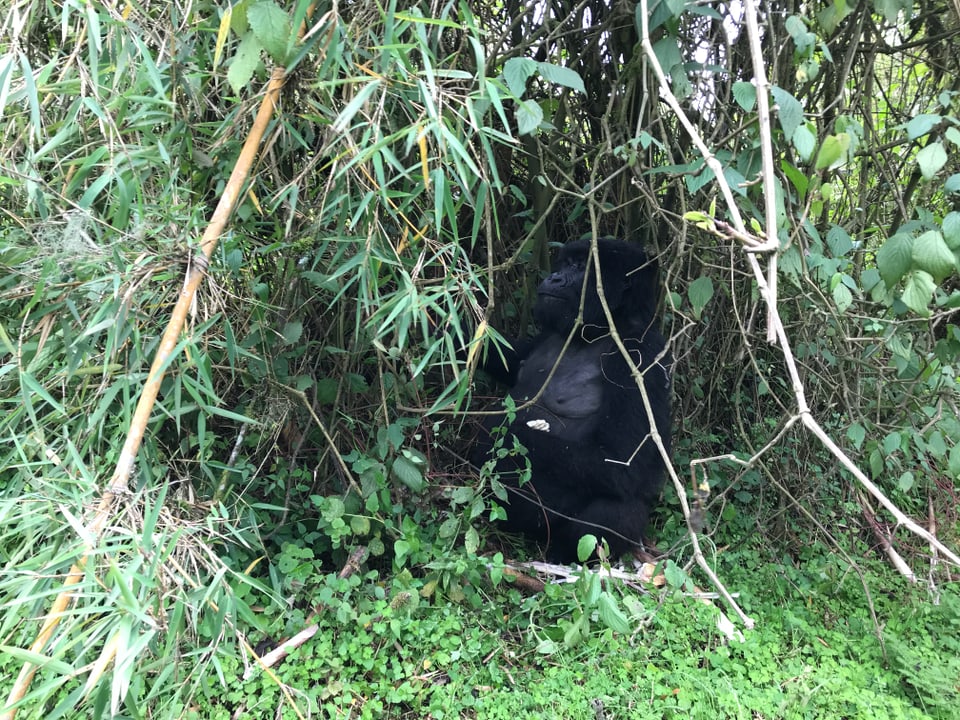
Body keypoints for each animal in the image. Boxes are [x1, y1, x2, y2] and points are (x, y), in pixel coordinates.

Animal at [474, 238, 672, 564]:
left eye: (580, 268)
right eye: (565, 264)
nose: (553, 278)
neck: (602, 329)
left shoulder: (641, 357)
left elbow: (623, 463)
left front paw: (496, 425)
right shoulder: (547, 332)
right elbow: (505, 356)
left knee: (618, 512)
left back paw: (564, 558)